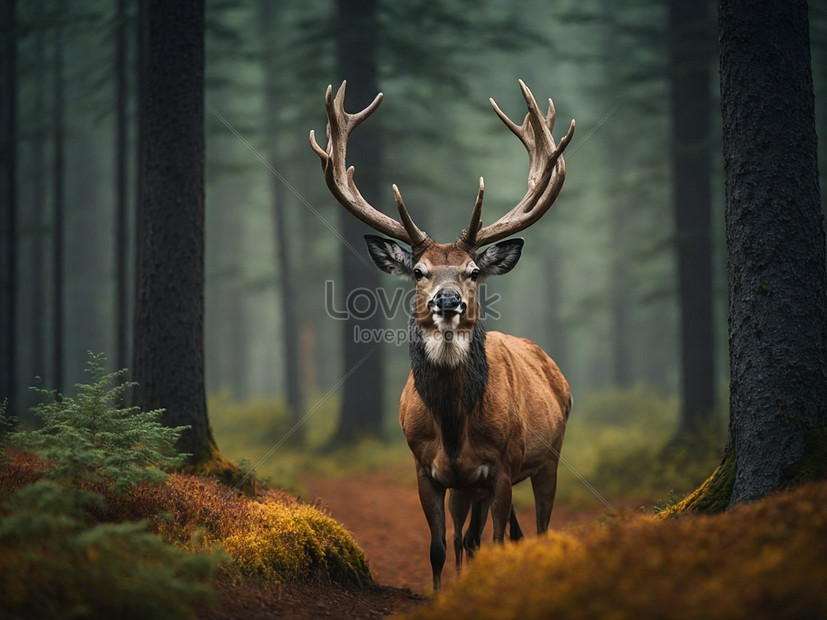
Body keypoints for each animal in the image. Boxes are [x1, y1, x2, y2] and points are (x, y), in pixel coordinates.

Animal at [310, 80, 576, 588]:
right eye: (419, 271)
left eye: (473, 271)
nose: (448, 302)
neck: (454, 427)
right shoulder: (425, 467)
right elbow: (437, 547)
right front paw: (442, 593)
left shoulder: (502, 466)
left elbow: (496, 540)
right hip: (467, 489)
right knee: (464, 538)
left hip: (548, 457)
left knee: (537, 527)